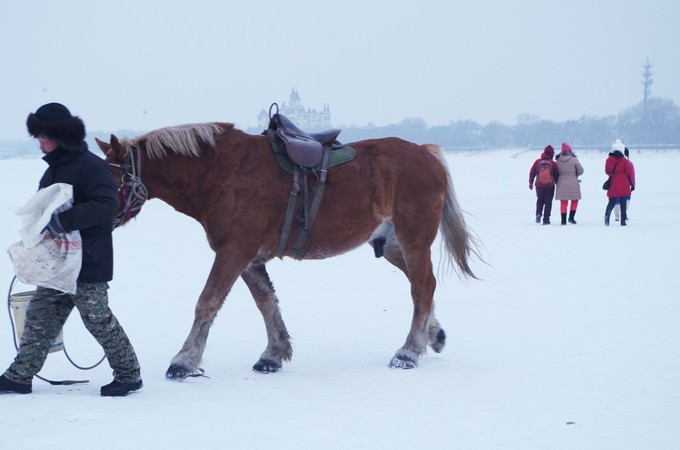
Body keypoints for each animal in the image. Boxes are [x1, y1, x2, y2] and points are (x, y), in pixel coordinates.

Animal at [94, 121, 478, 378]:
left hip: (413, 238)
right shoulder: (248, 258)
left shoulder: (234, 251)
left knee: (422, 287)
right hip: (392, 244)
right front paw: (274, 353)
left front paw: (185, 360)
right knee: (422, 285)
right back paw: (430, 334)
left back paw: (409, 352)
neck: (219, 173)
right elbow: (267, 304)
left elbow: (208, 302)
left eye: (112, 181)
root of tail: (425, 153)